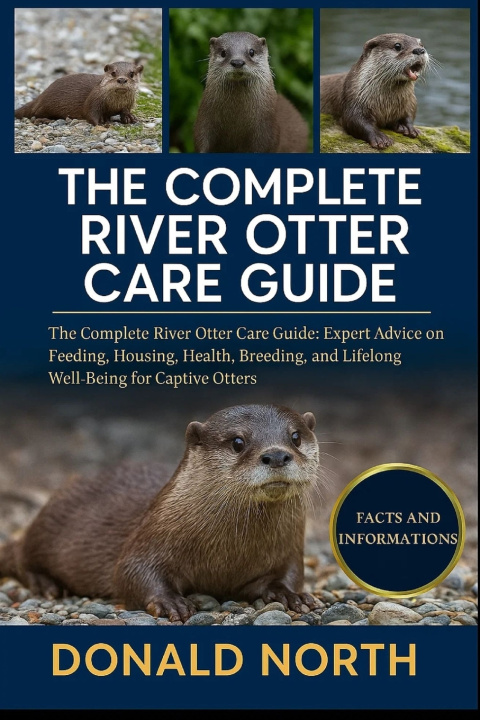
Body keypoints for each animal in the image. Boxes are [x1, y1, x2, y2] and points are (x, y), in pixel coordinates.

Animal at [0, 404, 320, 622]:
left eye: (295, 437)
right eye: (238, 442)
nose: (276, 454)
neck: (228, 556)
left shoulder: (289, 549)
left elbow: (289, 575)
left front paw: (289, 594)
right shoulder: (147, 539)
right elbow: (129, 573)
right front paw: (170, 603)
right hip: (47, 527)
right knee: (20, 555)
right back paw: (46, 584)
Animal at [14, 61, 143, 126]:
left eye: (131, 74)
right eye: (113, 73)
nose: (122, 79)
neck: (115, 103)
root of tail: (42, 95)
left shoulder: (127, 104)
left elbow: (125, 110)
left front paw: (129, 117)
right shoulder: (94, 98)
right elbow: (90, 112)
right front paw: (100, 123)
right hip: (46, 105)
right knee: (35, 114)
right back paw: (45, 120)